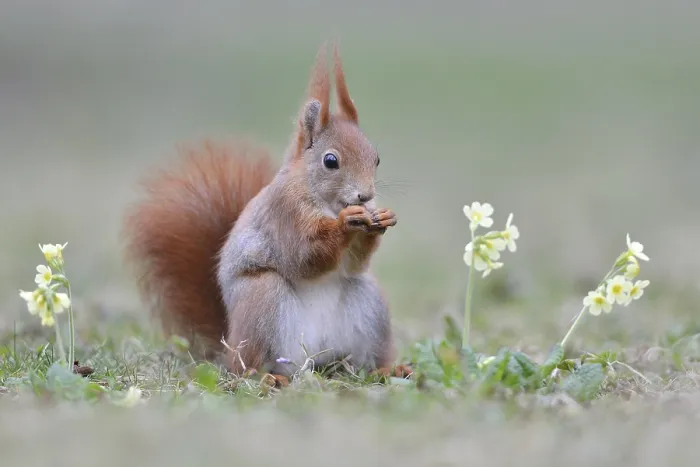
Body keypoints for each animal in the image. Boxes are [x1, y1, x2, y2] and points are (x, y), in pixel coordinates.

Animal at [122, 43, 410, 386]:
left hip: (368, 304)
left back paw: (388, 369)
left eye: (376, 158)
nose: (365, 195)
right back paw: (266, 378)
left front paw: (382, 217)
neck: (324, 200)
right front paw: (345, 224)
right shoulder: (284, 214)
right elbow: (304, 256)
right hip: (263, 301)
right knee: (248, 366)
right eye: (330, 161)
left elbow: (354, 264)